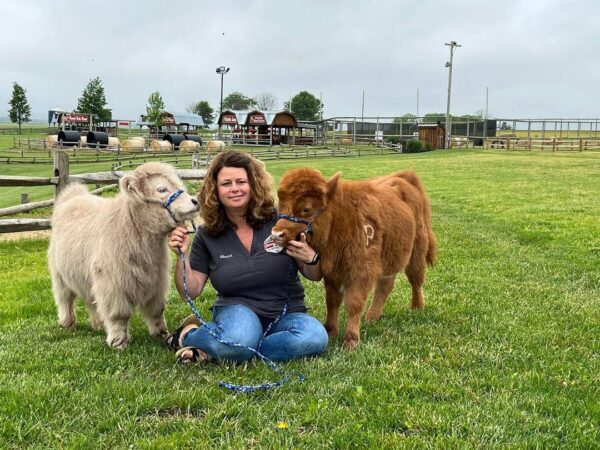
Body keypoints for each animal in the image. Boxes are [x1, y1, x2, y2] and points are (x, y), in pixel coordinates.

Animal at [48, 162, 199, 348]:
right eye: (161, 189)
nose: (195, 201)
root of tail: (74, 195)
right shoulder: (113, 284)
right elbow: (118, 314)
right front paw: (118, 342)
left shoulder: (157, 281)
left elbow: (156, 310)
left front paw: (162, 334)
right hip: (59, 275)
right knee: (64, 299)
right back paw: (67, 323)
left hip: (87, 276)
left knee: (91, 301)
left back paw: (98, 324)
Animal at [272, 168, 436, 348]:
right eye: (280, 205)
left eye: (306, 208)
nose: (276, 234)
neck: (340, 219)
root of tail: (404, 178)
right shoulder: (332, 273)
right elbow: (332, 301)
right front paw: (330, 330)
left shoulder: (360, 272)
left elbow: (354, 303)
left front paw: (351, 340)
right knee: (385, 286)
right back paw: (372, 317)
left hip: (416, 252)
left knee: (416, 279)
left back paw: (417, 307)